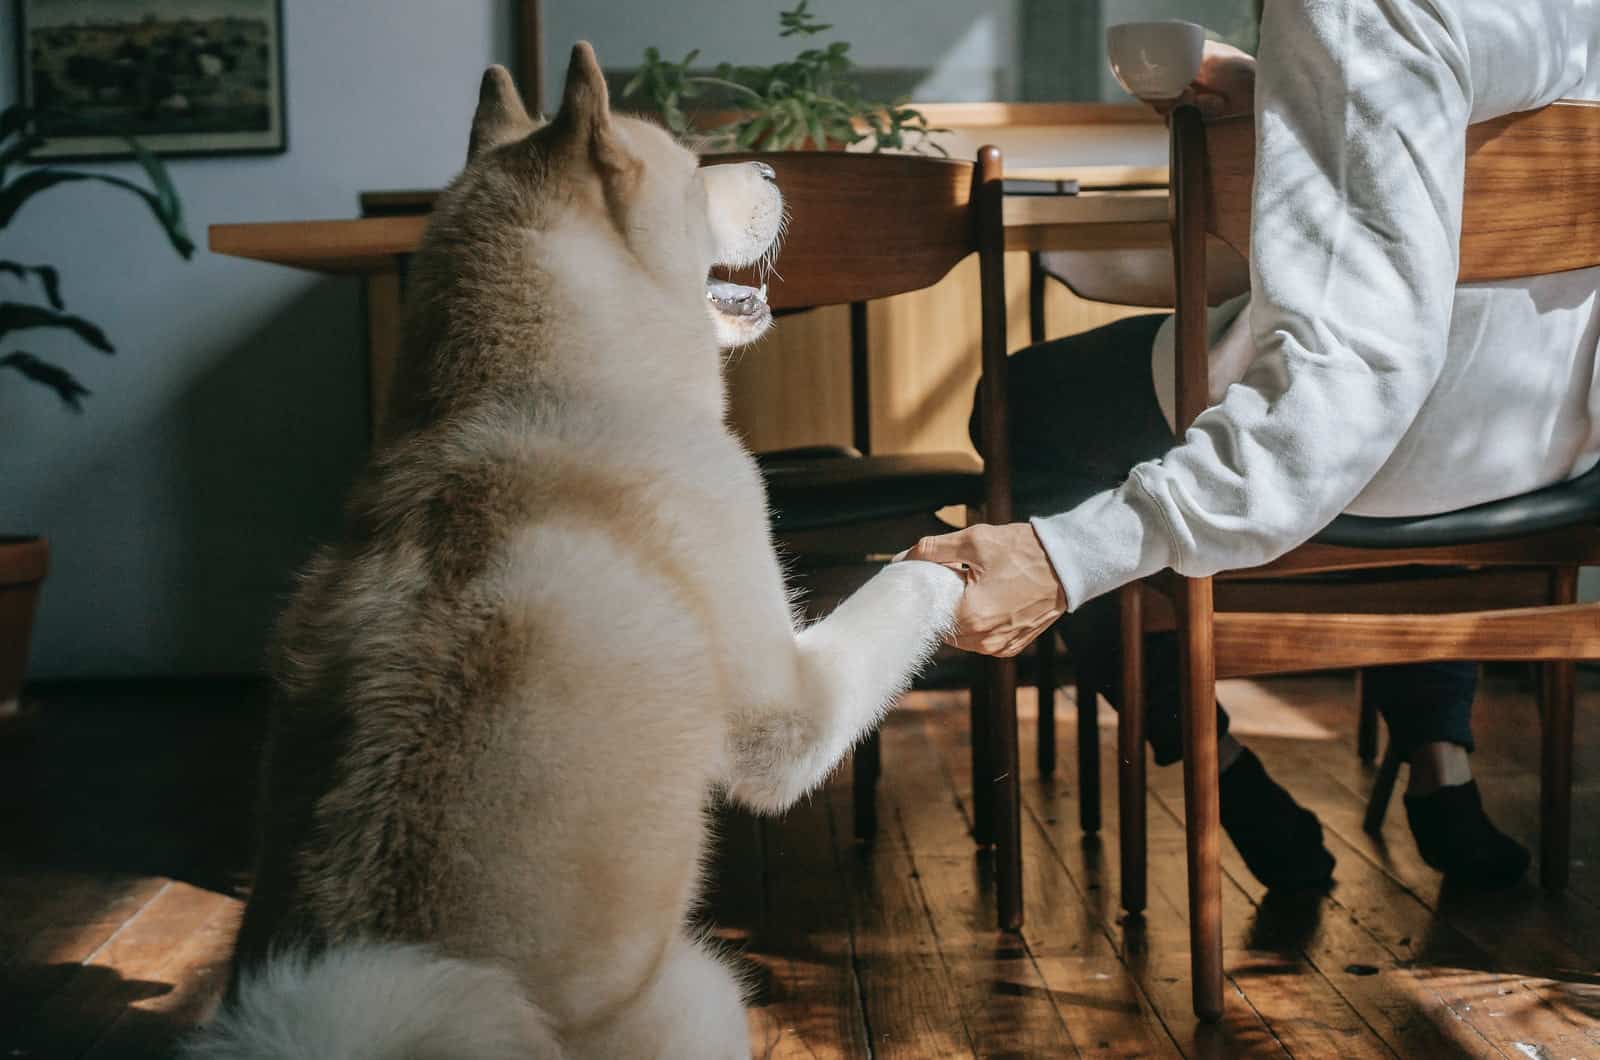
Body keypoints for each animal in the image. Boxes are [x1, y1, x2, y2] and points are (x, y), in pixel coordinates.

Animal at [187, 43, 960, 1060]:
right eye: (692, 171)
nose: (771, 167)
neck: (532, 393)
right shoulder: (788, 710)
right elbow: (900, 584)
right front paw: (983, 552)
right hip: (711, 985)